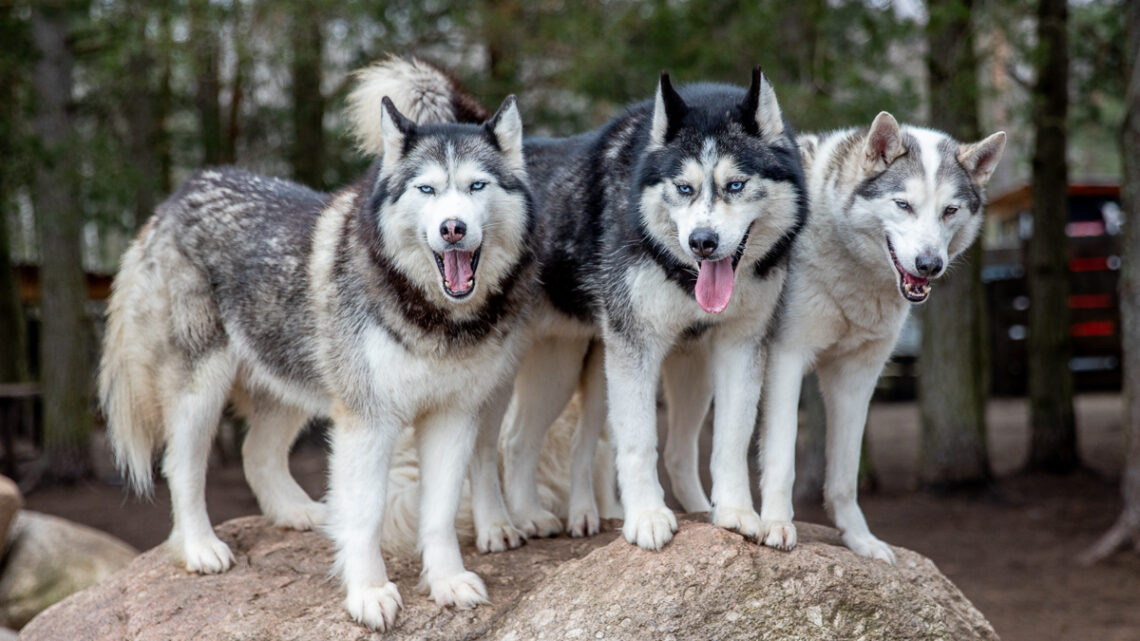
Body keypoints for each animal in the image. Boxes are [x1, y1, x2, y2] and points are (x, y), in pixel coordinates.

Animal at [98, 92, 533, 625]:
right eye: (427, 189)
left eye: (476, 185)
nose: (453, 229)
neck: (431, 315)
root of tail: (180, 194)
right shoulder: (368, 422)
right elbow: (366, 515)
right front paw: (369, 593)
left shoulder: (452, 418)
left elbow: (440, 515)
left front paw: (447, 582)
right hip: (200, 391)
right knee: (181, 468)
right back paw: (200, 548)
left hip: (288, 386)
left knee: (255, 454)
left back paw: (298, 514)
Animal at [369, 56, 807, 549]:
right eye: (684, 188)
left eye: (735, 185)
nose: (702, 241)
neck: (680, 269)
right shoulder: (634, 347)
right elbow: (638, 444)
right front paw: (647, 518)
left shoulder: (739, 344)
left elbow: (730, 442)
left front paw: (735, 513)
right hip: (500, 380)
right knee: (485, 450)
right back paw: (498, 527)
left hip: (580, 371)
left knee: (524, 442)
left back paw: (533, 516)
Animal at [665, 113, 1012, 558]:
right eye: (904, 205)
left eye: (949, 211)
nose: (929, 264)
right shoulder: (787, 358)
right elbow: (781, 459)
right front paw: (777, 526)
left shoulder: (857, 378)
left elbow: (845, 477)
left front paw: (860, 541)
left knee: (675, 455)